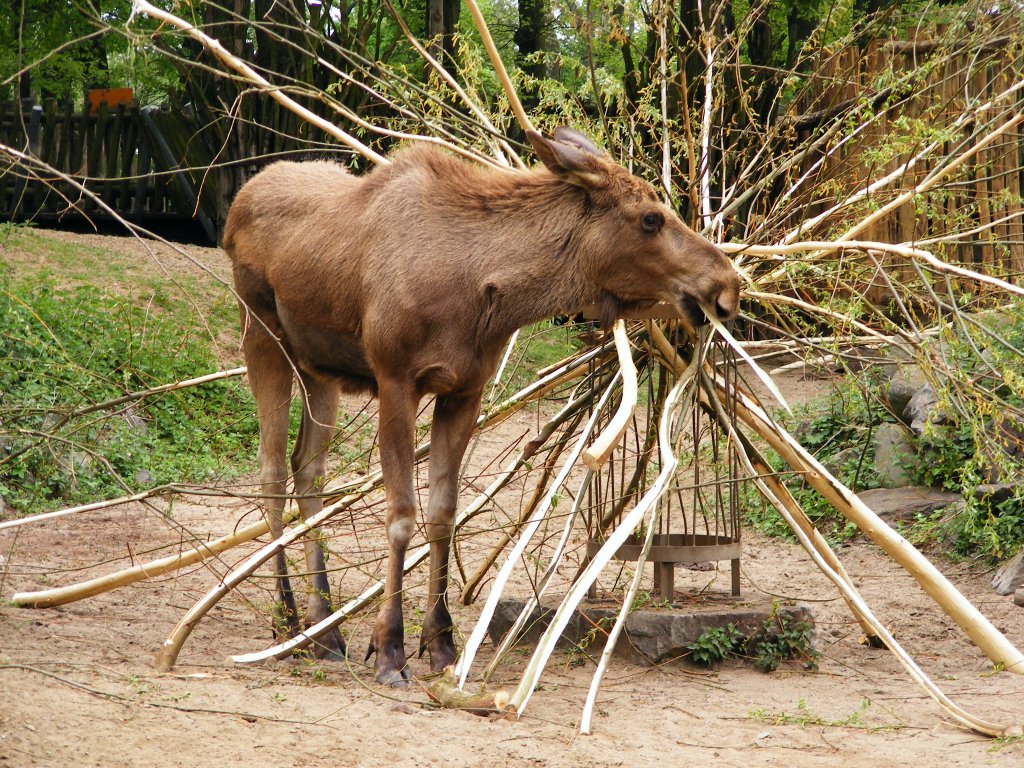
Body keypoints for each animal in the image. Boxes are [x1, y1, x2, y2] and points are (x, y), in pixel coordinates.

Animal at [224, 126, 741, 684]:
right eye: (650, 218)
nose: (727, 285)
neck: (486, 291)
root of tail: (235, 206)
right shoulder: (395, 380)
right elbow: (401, 514)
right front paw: (390, 648)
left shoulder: (463, 391)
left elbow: (444, 513)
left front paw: (442, 643)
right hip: (261, 335)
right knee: (273, 469)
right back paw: (287, 620)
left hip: (320, 369)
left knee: (309, 470)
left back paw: (324, 631)